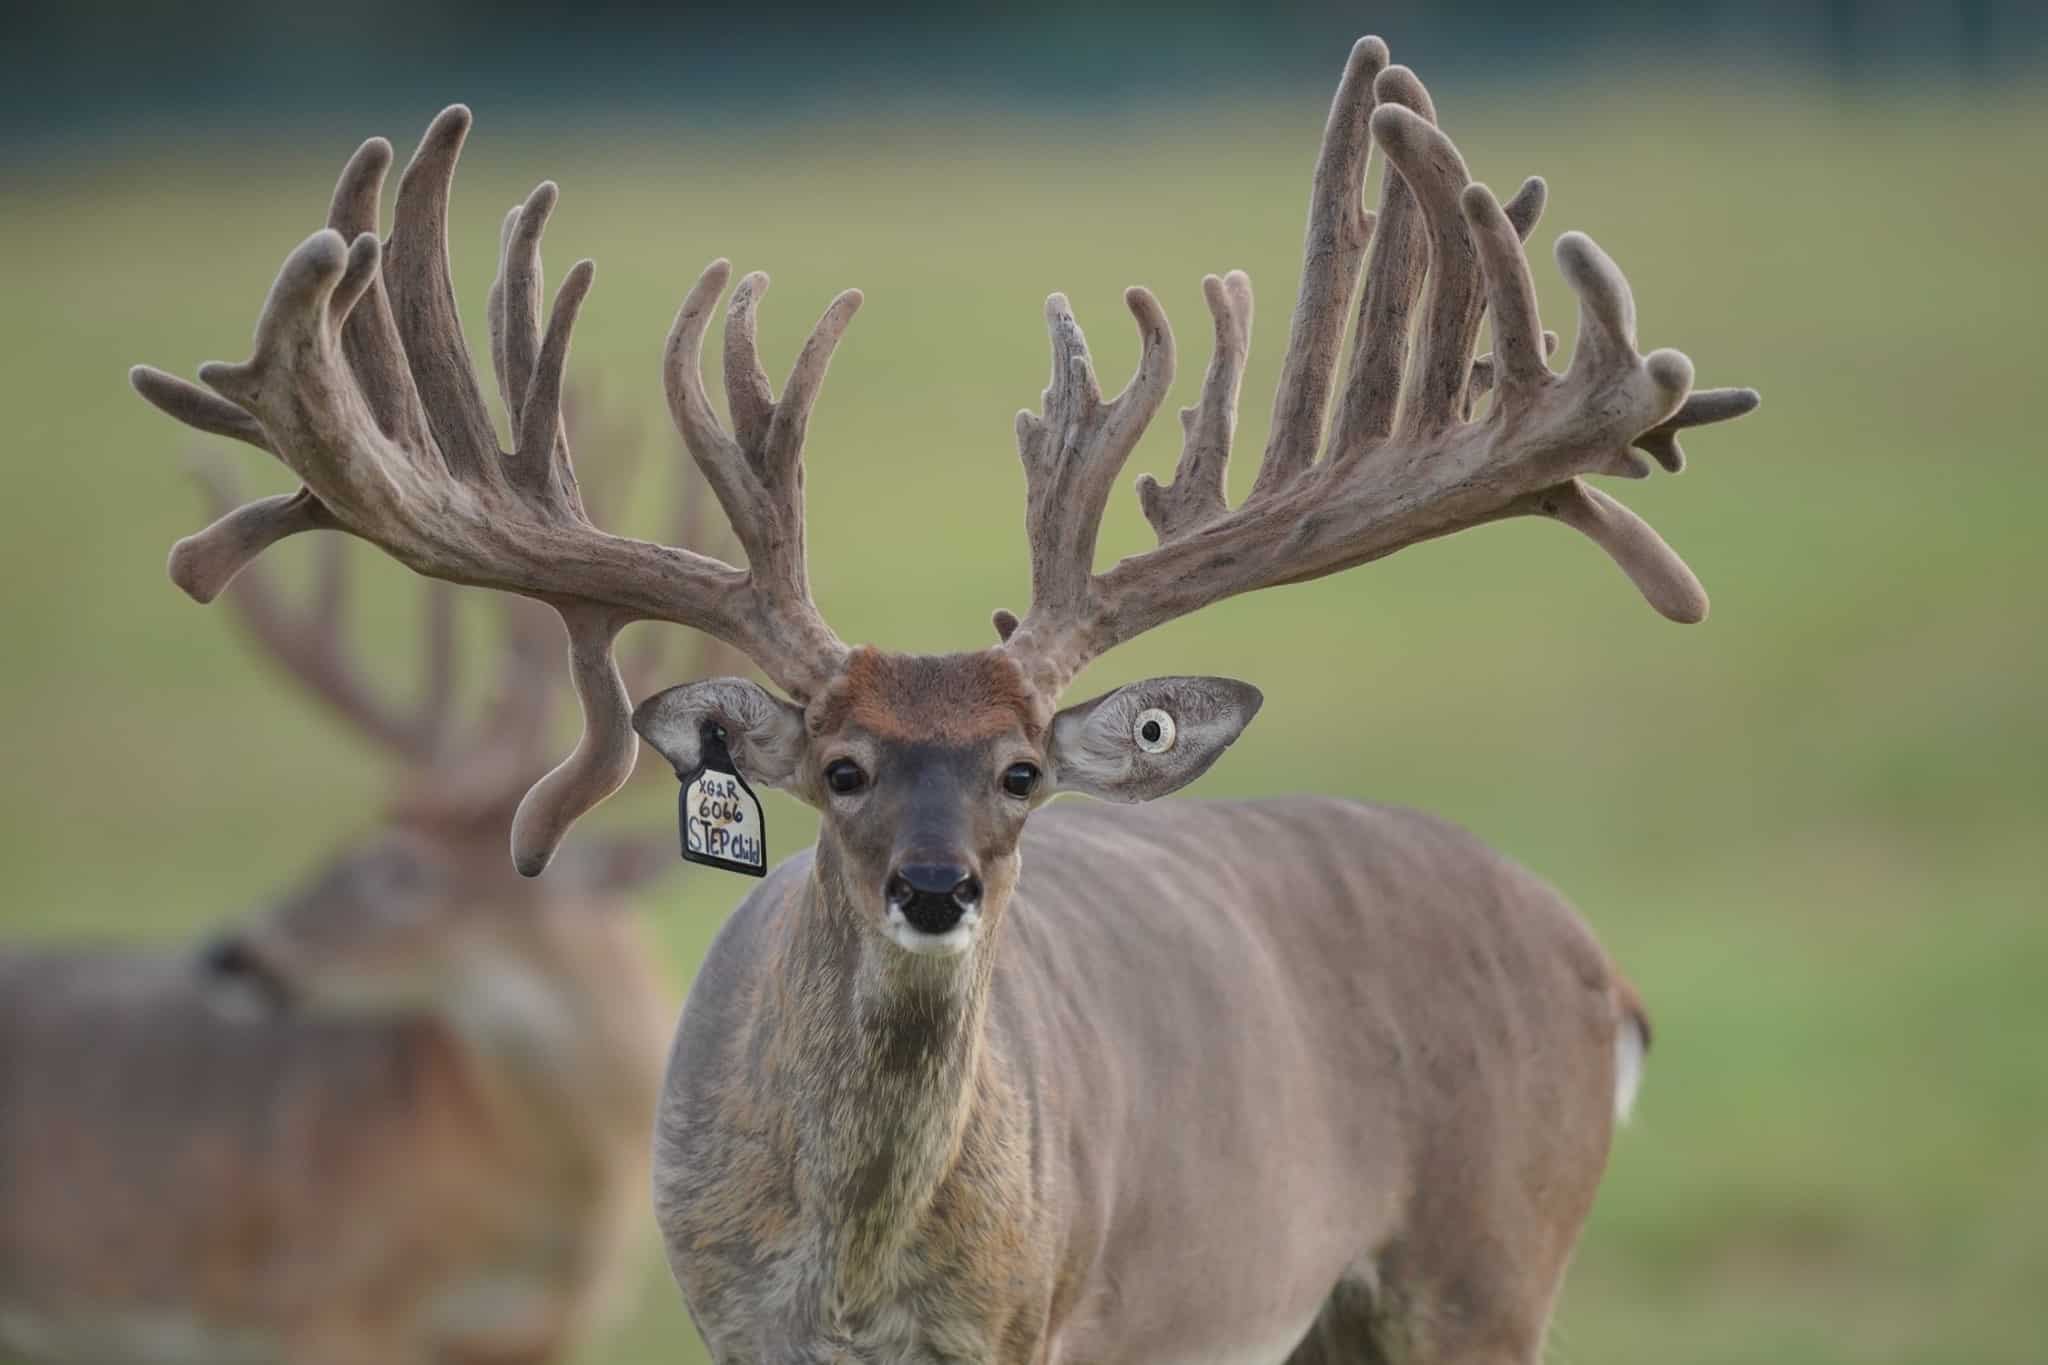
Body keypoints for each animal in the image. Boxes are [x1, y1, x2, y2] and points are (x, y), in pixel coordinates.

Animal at [127, 31, 1760, 1365]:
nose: (934, 888)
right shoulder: (725, 1321)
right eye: (836, 768)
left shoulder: (1041, 1322)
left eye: (1023, 770)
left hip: (1482, 1260)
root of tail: (1595, 966)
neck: (858, 1287)